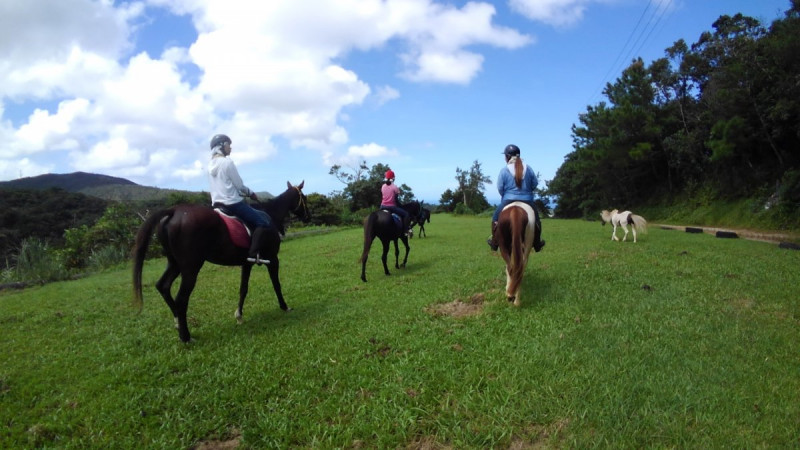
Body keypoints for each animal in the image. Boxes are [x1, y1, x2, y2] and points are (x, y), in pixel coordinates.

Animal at [131, 179, 310, 342]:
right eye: (305, 198)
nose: (308, 217)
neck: (270, 214)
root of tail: (173, 211)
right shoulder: (272, 259)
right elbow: (276, 284)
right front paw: (284, 306)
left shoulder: (247, 263)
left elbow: (243, 289)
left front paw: (239, 316)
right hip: (191, 267)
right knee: (181, 298)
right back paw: (186, 336)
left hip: (175, 264)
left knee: (163, 286)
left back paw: (177, 323)